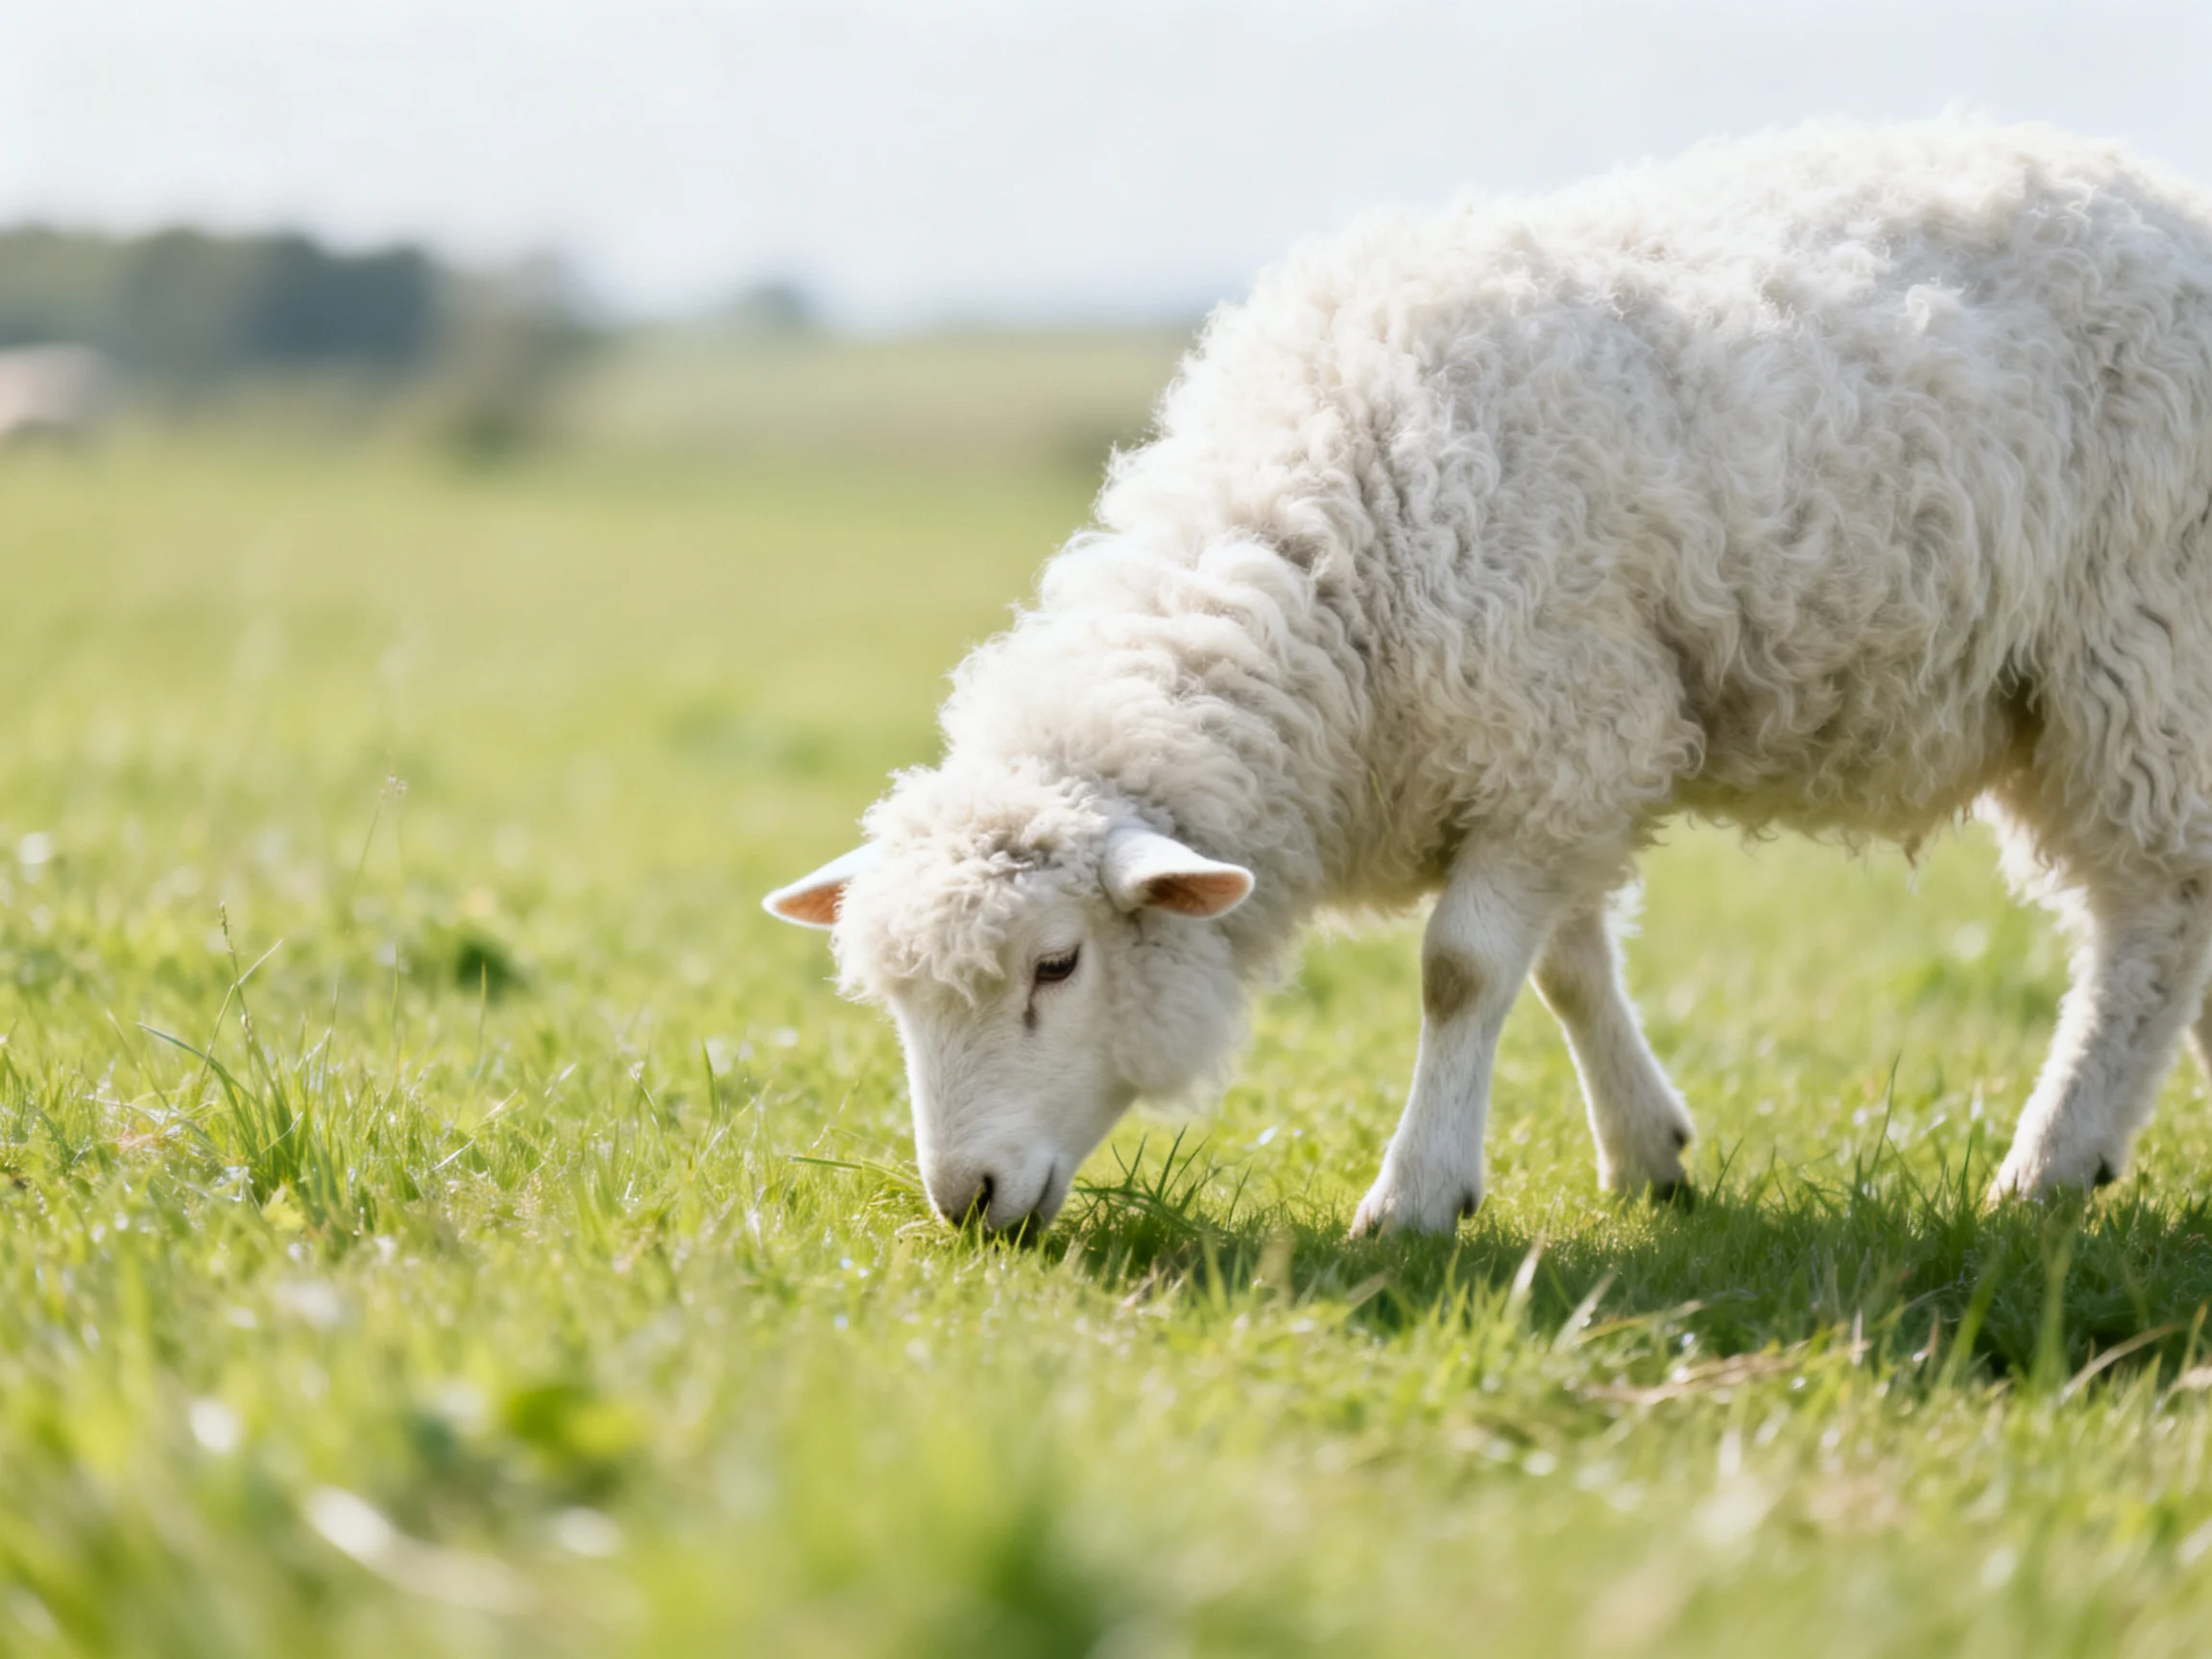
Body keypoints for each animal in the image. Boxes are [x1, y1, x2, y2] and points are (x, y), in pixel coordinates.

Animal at [768, 116, 2212, 1236]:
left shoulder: (1562, 726)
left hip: (2143, 652)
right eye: (892, 998)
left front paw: (1416, 1196)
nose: (966, 1200)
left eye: (1057, 967)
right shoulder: (1548, 763)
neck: (1329, 541)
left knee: (2151, 918)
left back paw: (2051, 1163)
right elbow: (1568, 963)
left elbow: (1460, 970)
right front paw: (1646, 1153)